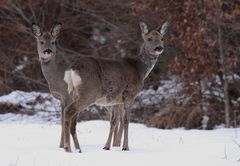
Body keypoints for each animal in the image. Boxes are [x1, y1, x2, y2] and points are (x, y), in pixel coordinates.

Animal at [31, 21, 168, 152]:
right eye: (149, 38)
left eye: (162, 38)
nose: (159, 48)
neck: (139, 69)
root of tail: (73, 68)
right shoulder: (130, 94)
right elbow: (126, 120)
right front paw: (125, 147)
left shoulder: (114, 100)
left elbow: (114, 121)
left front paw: (107, 147)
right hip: (89, 93)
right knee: (69, 111)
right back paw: (68, 148)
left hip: (76, 94)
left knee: (71, 117)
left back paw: (76, 148)